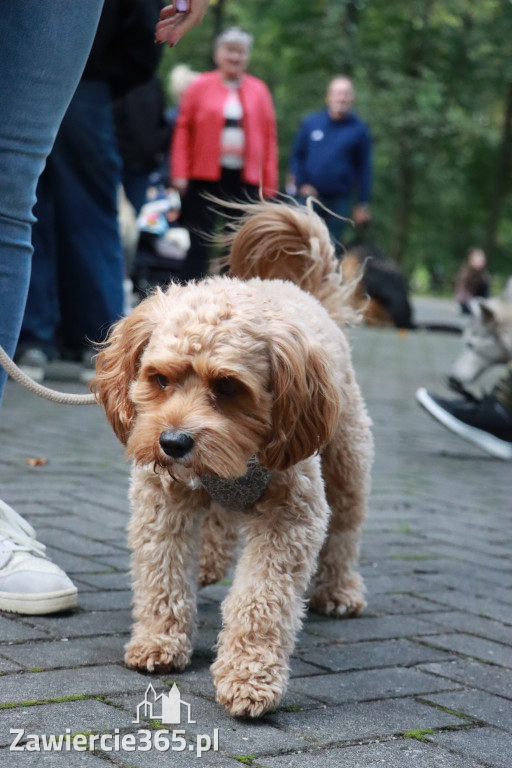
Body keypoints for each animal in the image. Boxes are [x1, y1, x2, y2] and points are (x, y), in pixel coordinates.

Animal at [92, 201, 372, 716]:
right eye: (159, 378)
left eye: (227, 387)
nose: (174, 442)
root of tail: (299, 290)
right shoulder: (163, 503)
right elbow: (162, 575)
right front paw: (159, 641)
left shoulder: (291, 515)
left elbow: (261, 599)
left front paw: (250, 675)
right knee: (219, 522)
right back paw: (208, 560)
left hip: (347, 460)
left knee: (345, 529)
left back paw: (340, 590)